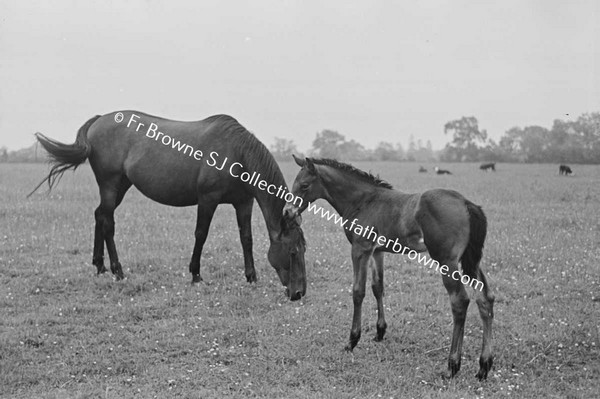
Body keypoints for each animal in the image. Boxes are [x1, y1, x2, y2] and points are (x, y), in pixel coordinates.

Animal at [29, 111, 308, 300]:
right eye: (293, 252)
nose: (299, 293)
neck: (236, 154)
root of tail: (98, 120)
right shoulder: (208, 199)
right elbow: (201, 234)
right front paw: (196, 275)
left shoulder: (243, 202)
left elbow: (246, 238)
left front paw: (251, 277)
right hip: (110, 185)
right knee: (107, 222)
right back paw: (118, 271)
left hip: (120, 187)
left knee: (99, 215)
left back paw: (100, 266)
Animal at [284, 156, 494, 382]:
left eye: (304, 185)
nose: (287, 212)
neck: (363, 201)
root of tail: (466, 203)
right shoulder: (377, 252)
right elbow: (378, 287)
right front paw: (380, 332)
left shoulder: (360, 249)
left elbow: (358, 292)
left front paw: (352, 341)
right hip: (470, 261)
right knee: (485, 299)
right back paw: (484, 366)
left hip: (448, 261)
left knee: (460, 301)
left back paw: (452, 365)